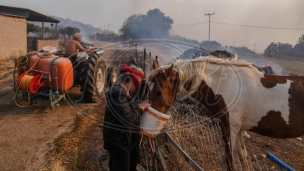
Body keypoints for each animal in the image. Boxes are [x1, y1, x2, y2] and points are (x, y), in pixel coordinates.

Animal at [147, 55, 304, 170]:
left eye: (159, 92)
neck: (225, 84)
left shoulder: (230, 128)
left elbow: (228, 160)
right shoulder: (239, 129)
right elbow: (243, 158)